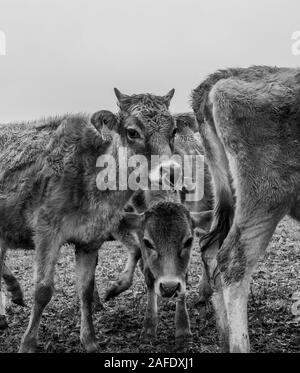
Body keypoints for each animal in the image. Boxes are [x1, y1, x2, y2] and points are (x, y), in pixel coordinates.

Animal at [0, 88, 178, 352]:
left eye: (174, 130)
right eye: (132, 131)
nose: (171, 171)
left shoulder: (91, 239)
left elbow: (84, 289)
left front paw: (90, 340)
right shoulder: (46, 231)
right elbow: (43, 289)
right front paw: (28, 343)